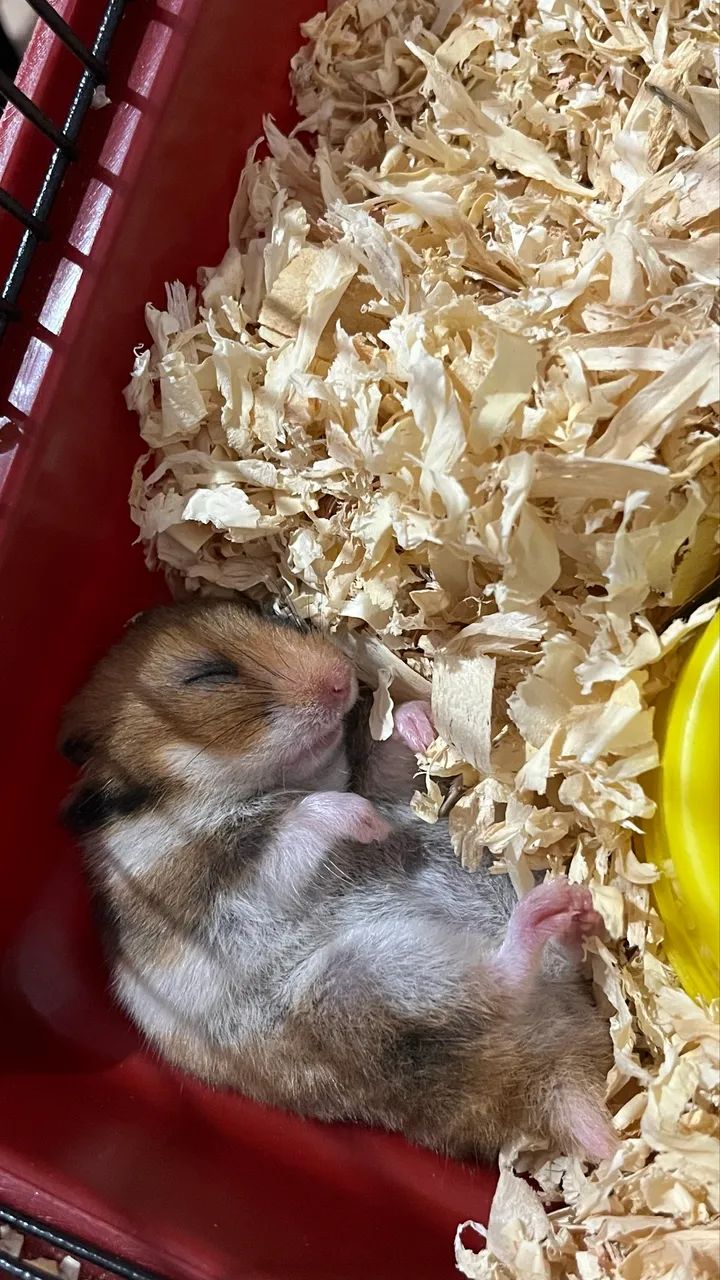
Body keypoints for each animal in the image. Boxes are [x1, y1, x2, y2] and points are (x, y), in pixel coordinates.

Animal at [59, 598, 616, 1162]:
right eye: (207, 675)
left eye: (274, 615)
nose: (341, 680)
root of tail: (548, 1085)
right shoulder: (223, 889)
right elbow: (299, 826)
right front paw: (369, 823)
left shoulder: (368, 781)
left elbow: (383, 768)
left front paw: (418, 725)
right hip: (364, 984)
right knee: (502, 983)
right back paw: (549, 914)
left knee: (555, 964)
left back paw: (577, 911)